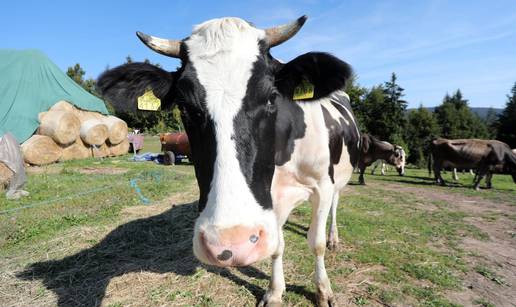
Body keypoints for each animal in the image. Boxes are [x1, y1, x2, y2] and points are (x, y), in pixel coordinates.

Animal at [95, 16, 358, 306]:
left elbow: (316, 242)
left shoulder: (322, 185)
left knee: (335, 206)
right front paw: (275, 292)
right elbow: (277, 245)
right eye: (184, 106)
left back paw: (334, 238)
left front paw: (323, 290)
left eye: (272, 97)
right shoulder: (271, 202)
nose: (230, 243)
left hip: (338, 178)